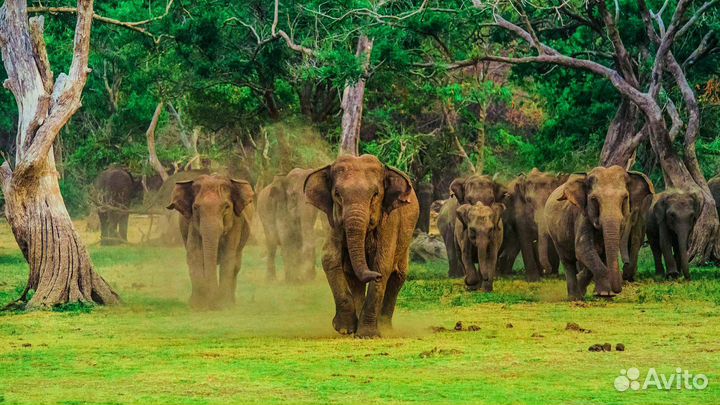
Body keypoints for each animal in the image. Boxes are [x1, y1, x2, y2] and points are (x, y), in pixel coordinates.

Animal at [167, 174, 255, 310]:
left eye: (226, 207)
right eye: (195, 207)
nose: (212, 304)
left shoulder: (236, 222)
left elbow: (228, 256)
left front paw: (223, 306)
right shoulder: (193, 224)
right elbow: (194, 254)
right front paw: (198, 306)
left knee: (236, 265)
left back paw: (232, 302)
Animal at [302, 153, 416, 336]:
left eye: (375, 194)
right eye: (337, 194)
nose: (375, 276)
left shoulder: (389, 221)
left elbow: (382, 264)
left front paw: (367, 336)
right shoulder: (333, 223)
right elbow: (330, 259)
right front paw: (344, 329)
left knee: (398, 276)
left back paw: (384, 328)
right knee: (353, 277)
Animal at [544, 165, 652, 300]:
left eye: (625, 198)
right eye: (594, 199)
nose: (618, 289)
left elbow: (600, 252)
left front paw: (604, 293)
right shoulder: (582, 216)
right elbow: (583, 249)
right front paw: (606, 294)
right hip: (556, 234)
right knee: (567, 260)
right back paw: (575, 297)